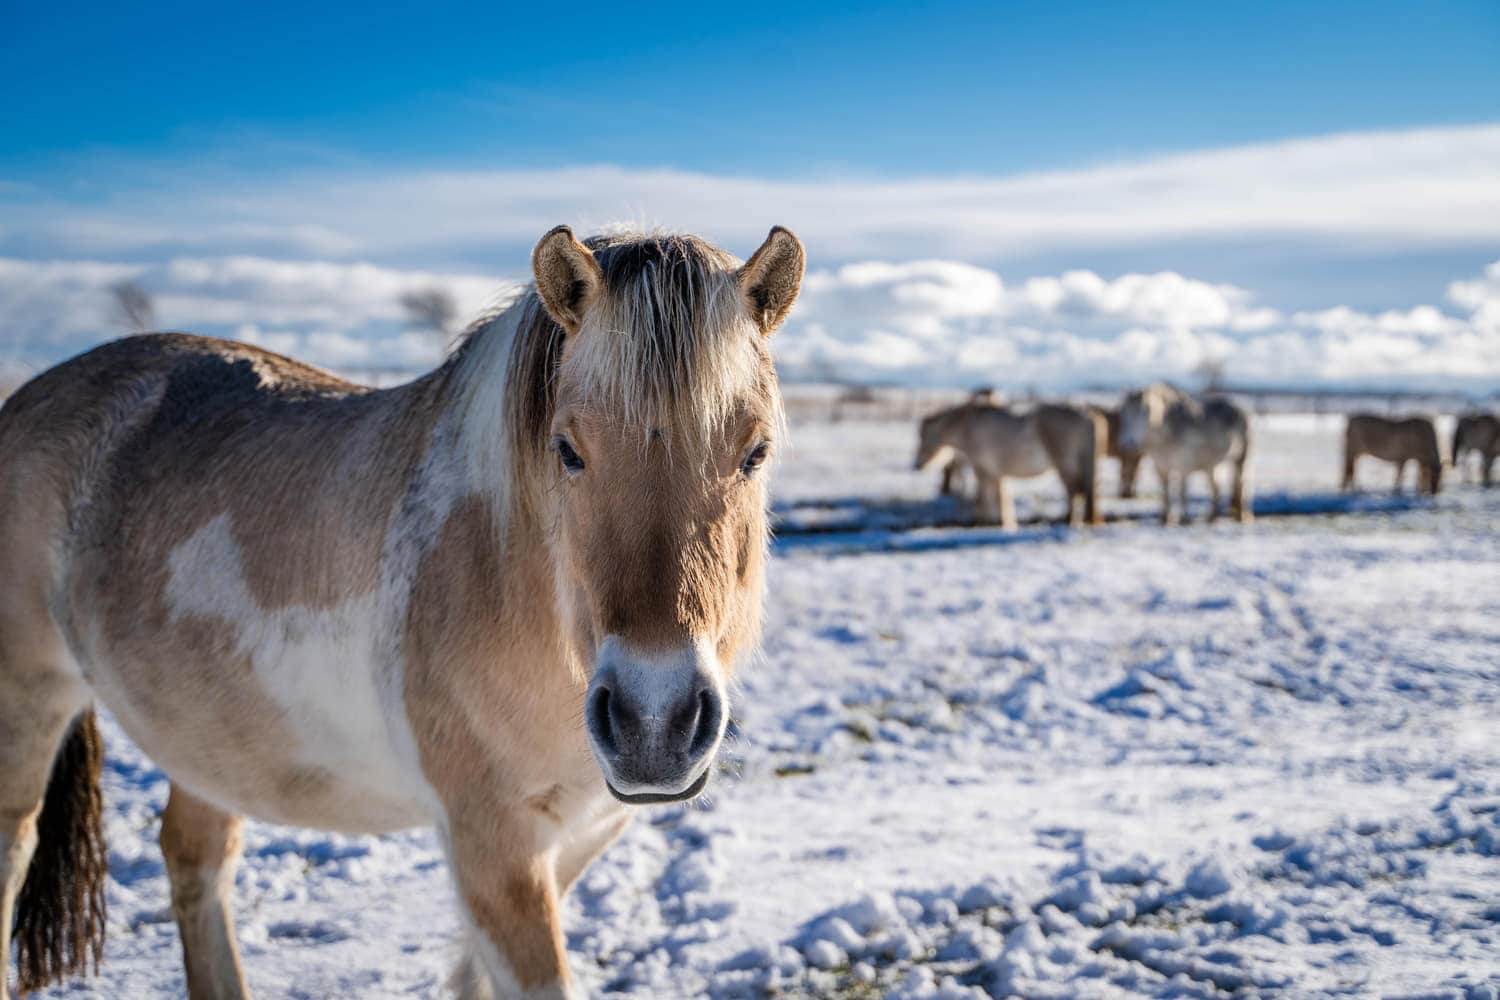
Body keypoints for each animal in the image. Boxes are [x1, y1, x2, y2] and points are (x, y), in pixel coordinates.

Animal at [0, 225, 804, 1000]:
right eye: (568, 451)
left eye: (756, 452)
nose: (653, 726)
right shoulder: (492, 846)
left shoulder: (575, 838)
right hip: (31, 706)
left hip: (204, 744)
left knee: (196, 859)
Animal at [914, 401, 1102, 530]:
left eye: (923, 439)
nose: (916, 465)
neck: (968, 426)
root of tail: (1086, 415)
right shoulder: (998, 473)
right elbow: (1003, 498)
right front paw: (1007, 524)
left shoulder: (983, 471)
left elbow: (984, 498)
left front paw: (983, 523)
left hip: (1065, 464)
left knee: (1074, 491)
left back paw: (1069, 520)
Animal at [1117, 383, 1252, 525]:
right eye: (1123, 414)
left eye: (1146, 411)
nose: (1127, 443)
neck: (1168, 433)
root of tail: (1238, 407)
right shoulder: (1161, 468)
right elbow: (1165, 492)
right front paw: (1165, 518)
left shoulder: (1183, 468)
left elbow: (1182, 492)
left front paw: (1184, 519)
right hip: (1211, 466)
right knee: (1216, 488)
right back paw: (1211, 517)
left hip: (1240, 459)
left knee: (1242, 485)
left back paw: (1244, 516)